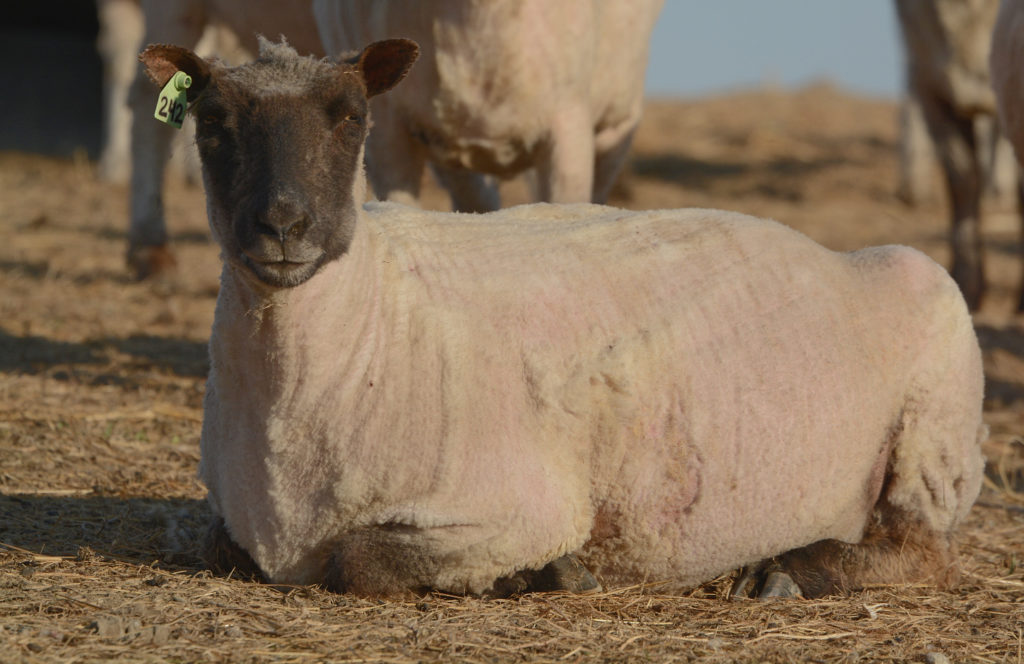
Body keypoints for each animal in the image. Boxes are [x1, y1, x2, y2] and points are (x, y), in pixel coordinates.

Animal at [140, 36, 987, 598]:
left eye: (350, 117)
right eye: (210, 124)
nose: (284, 226)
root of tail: (841, 253)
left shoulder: (512, 509)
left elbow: (362, 562)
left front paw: (547, 574)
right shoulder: (232, 519)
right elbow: (218, 543)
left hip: (935, 425)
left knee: (925, 550)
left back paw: (784, 571)